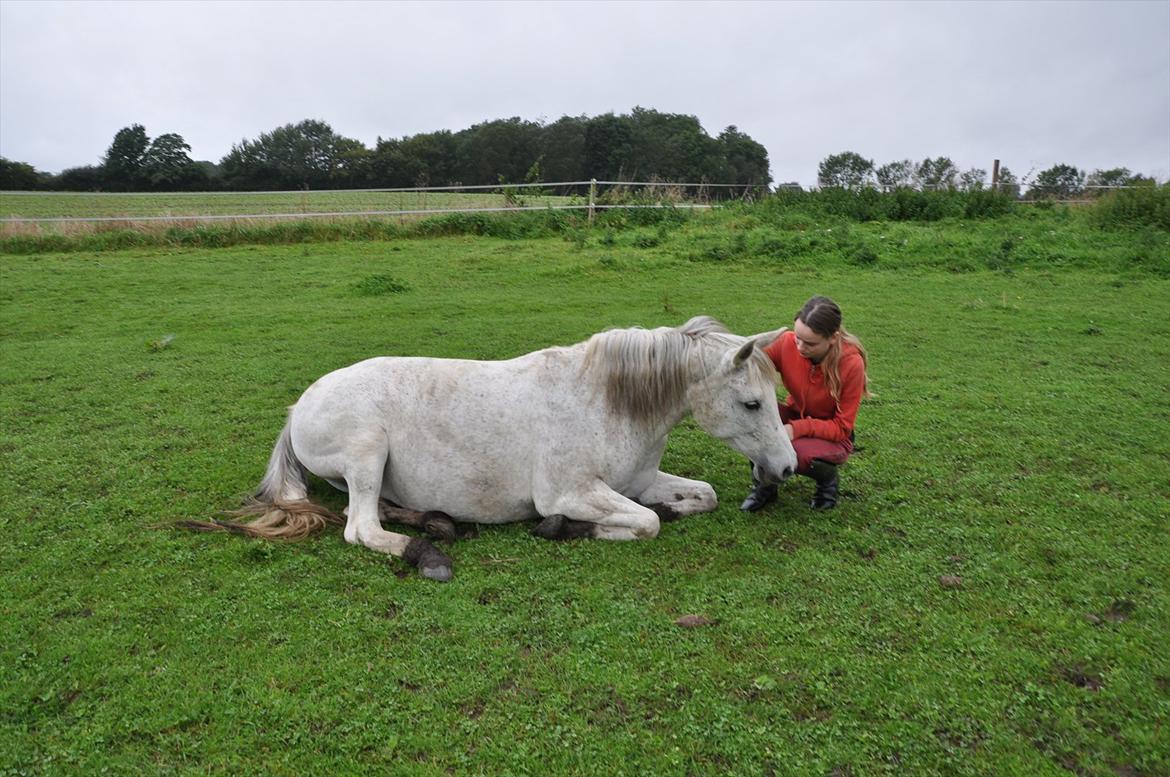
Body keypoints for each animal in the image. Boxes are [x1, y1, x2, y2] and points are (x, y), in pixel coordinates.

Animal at [187, 313, 800, 575]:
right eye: (753, 403)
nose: (788, 467)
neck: (605, 400)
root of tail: (299, 407)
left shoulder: (640, 480)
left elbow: (700, 496)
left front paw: (672, 508)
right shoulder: (568, 492)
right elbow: (643, 524)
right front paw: (568, 530)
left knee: (379, 509)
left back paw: (436, 522)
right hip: (367, 451)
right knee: (361, 528)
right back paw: (427, 552)